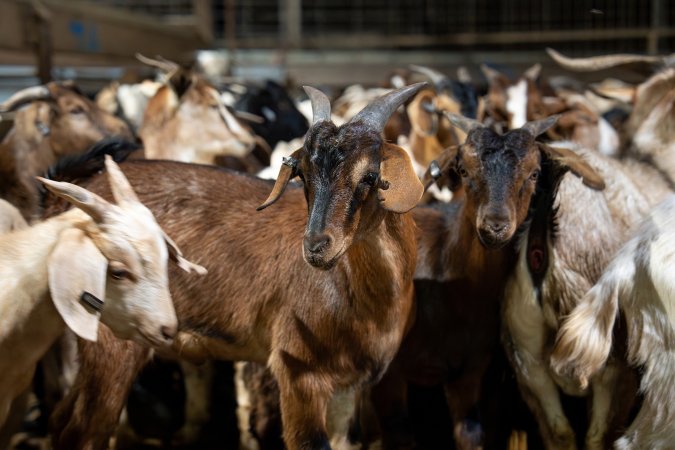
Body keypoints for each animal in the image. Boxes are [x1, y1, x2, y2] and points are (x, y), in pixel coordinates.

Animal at [47, 83, 426, 450]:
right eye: (303, 174)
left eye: (370, 176)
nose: (317, 246)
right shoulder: (298, 370)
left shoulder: (350, 385)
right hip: (112, 343)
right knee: (82, 432)